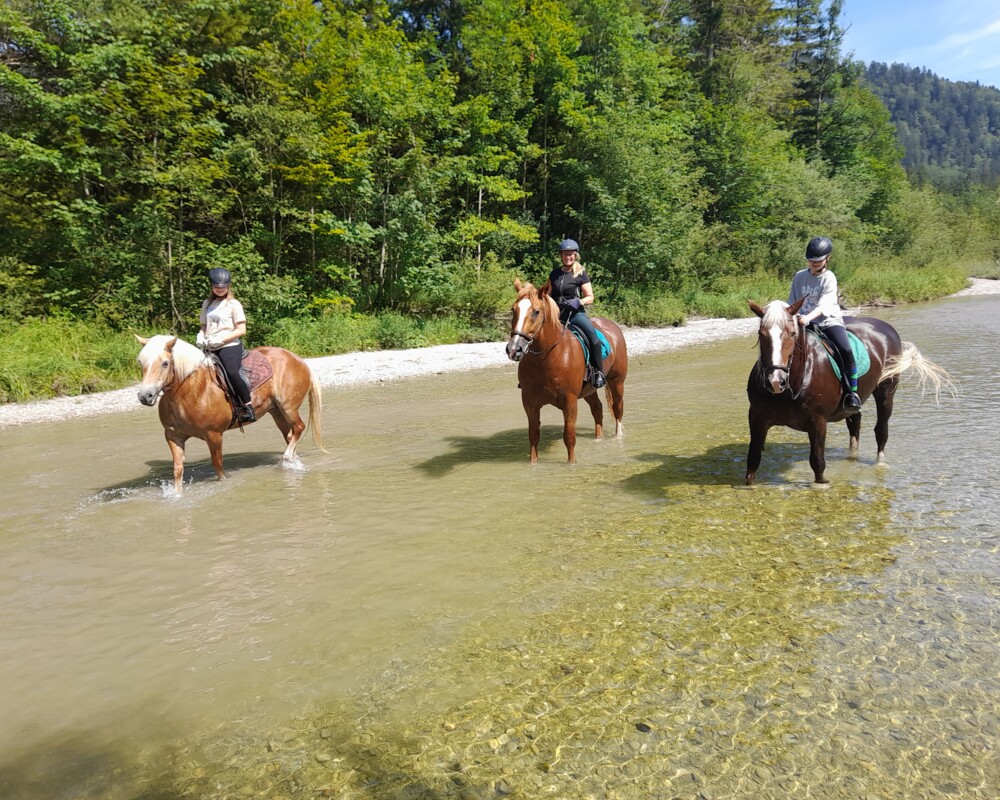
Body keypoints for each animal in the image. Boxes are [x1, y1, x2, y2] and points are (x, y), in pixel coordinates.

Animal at [135, 332, 324, 494]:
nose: (145, 396)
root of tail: (298, 359)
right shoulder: (173, 436)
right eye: (140, 362)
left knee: (298, 428)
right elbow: (178, 470)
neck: (189, 391)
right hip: (276, 411)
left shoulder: (214, 435)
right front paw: (177, 495)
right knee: (290, 436)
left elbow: (218, 467)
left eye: (165, 363)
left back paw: (286, 459)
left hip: (288, 407)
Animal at [504, 278, 628, 462]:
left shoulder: (569, 402)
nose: (514, 349)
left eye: (536, 312)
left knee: (617, 408)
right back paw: (598, 439)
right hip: (589, 390)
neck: (547, 358)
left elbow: (569, 437)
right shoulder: (529, 402)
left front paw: (572, 463)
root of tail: (612, 326)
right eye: (514, 310)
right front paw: (533, 464)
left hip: (617, 382)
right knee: (597, 408)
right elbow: (533, 435)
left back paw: (618, 438)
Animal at [748, 300, 948, 484]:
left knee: (881, 430)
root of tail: (888, 329)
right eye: (761, 334)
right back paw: (852, 457)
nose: (775, 381)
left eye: (792, 333)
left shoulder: (818, 421)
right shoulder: (757, 418)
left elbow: (818, 462)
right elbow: (753, 460)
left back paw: (880, 463)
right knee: (855, 425)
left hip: (886, 392)